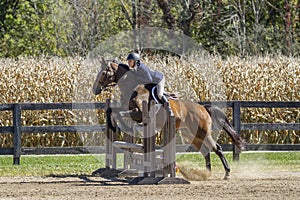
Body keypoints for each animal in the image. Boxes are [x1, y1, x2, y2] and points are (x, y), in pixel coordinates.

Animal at [92, 58, 245, 180]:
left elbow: (120, 114)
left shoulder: (139, 112)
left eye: (104, 73)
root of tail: (203, 108)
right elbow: (112, 110)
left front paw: (117, 126)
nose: (95, 90)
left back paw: (227, 173)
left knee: (217, 148)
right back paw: (206, 174)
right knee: (206, 150)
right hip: (192, 135)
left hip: (203, 132)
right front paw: (114, 125)